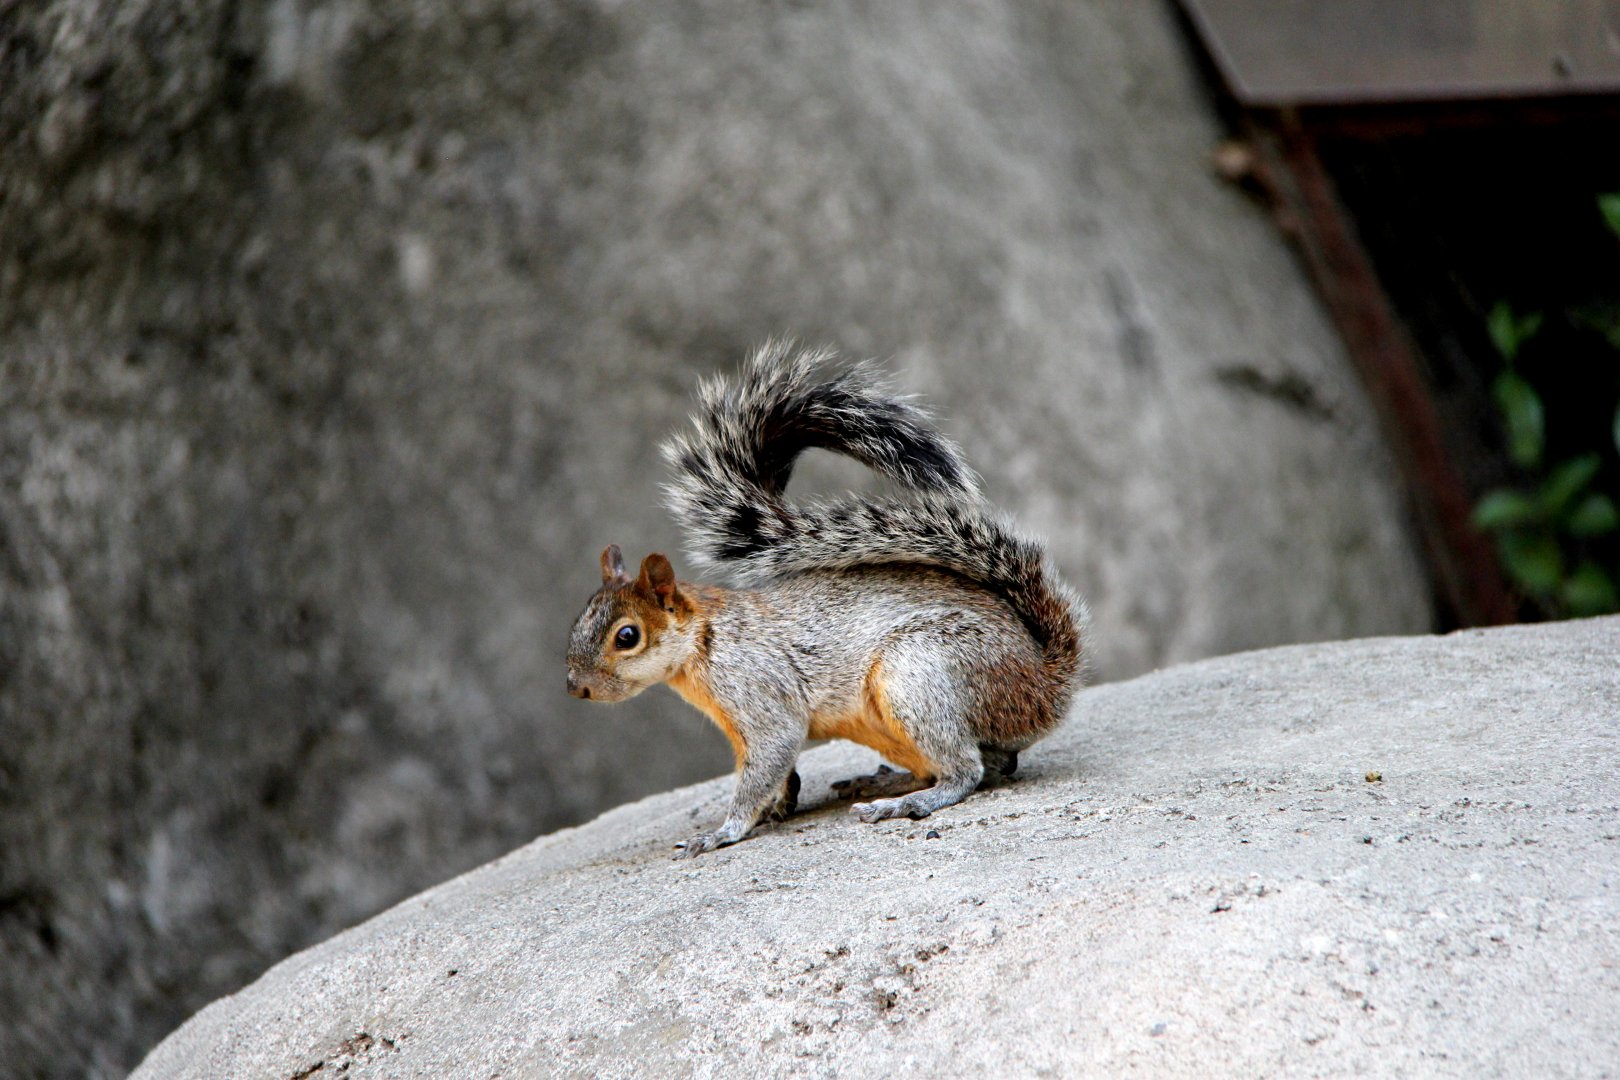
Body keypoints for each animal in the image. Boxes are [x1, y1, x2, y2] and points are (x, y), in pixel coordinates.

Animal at [566, 341, 1088, 857]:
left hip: (919, 673)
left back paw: (907, 802)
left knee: (968, 769)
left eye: (627, 636)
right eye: (577, 622)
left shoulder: (760, 691)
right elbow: (777, 775)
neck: (705, 640)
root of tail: (1046, 682)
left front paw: (722, 831)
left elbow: (768, 761)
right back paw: (884, 782)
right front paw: (777, 808)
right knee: (992, 763)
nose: (576, 688)